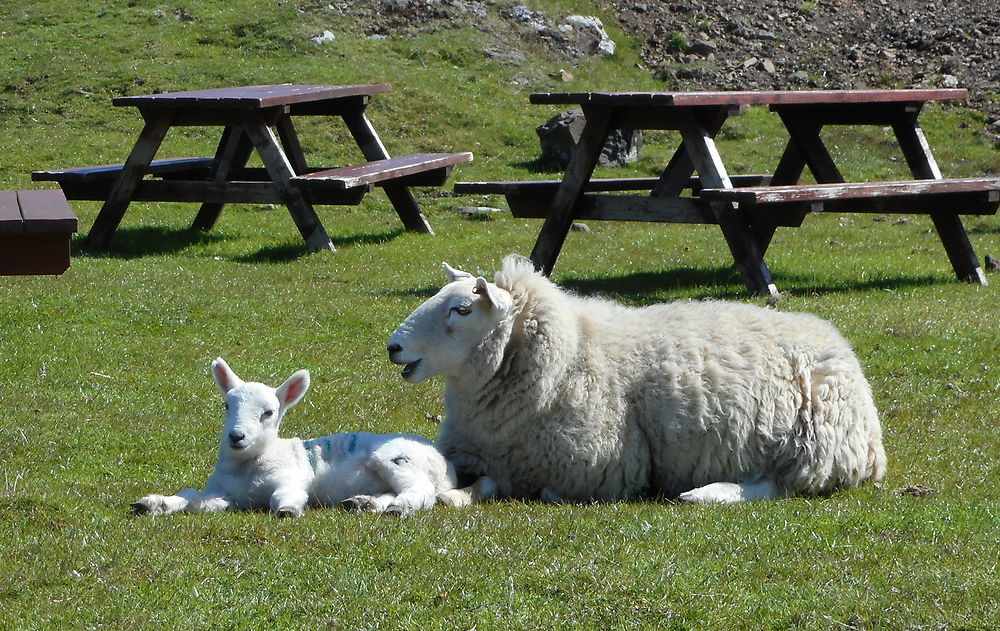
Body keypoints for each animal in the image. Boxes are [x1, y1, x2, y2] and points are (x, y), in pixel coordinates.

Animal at [133, 358, 458, 516]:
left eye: (268, 413)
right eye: (226, 405)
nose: (237, 436)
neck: (250, 466)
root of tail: (445, 466)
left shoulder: (289, 476)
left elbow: (286, 494)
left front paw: (288, 510)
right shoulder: (225, 494)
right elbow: (192, 498)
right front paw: (153, 504)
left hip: (397, 459)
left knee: (420, 490)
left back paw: (399, 507)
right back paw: (364, 503)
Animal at [386, 254, 888, 506]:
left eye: (461, 310)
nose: (393, 347)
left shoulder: (598, 466)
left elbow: (537, 488)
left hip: (814, 445)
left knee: (777, 484)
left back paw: (707, 493)